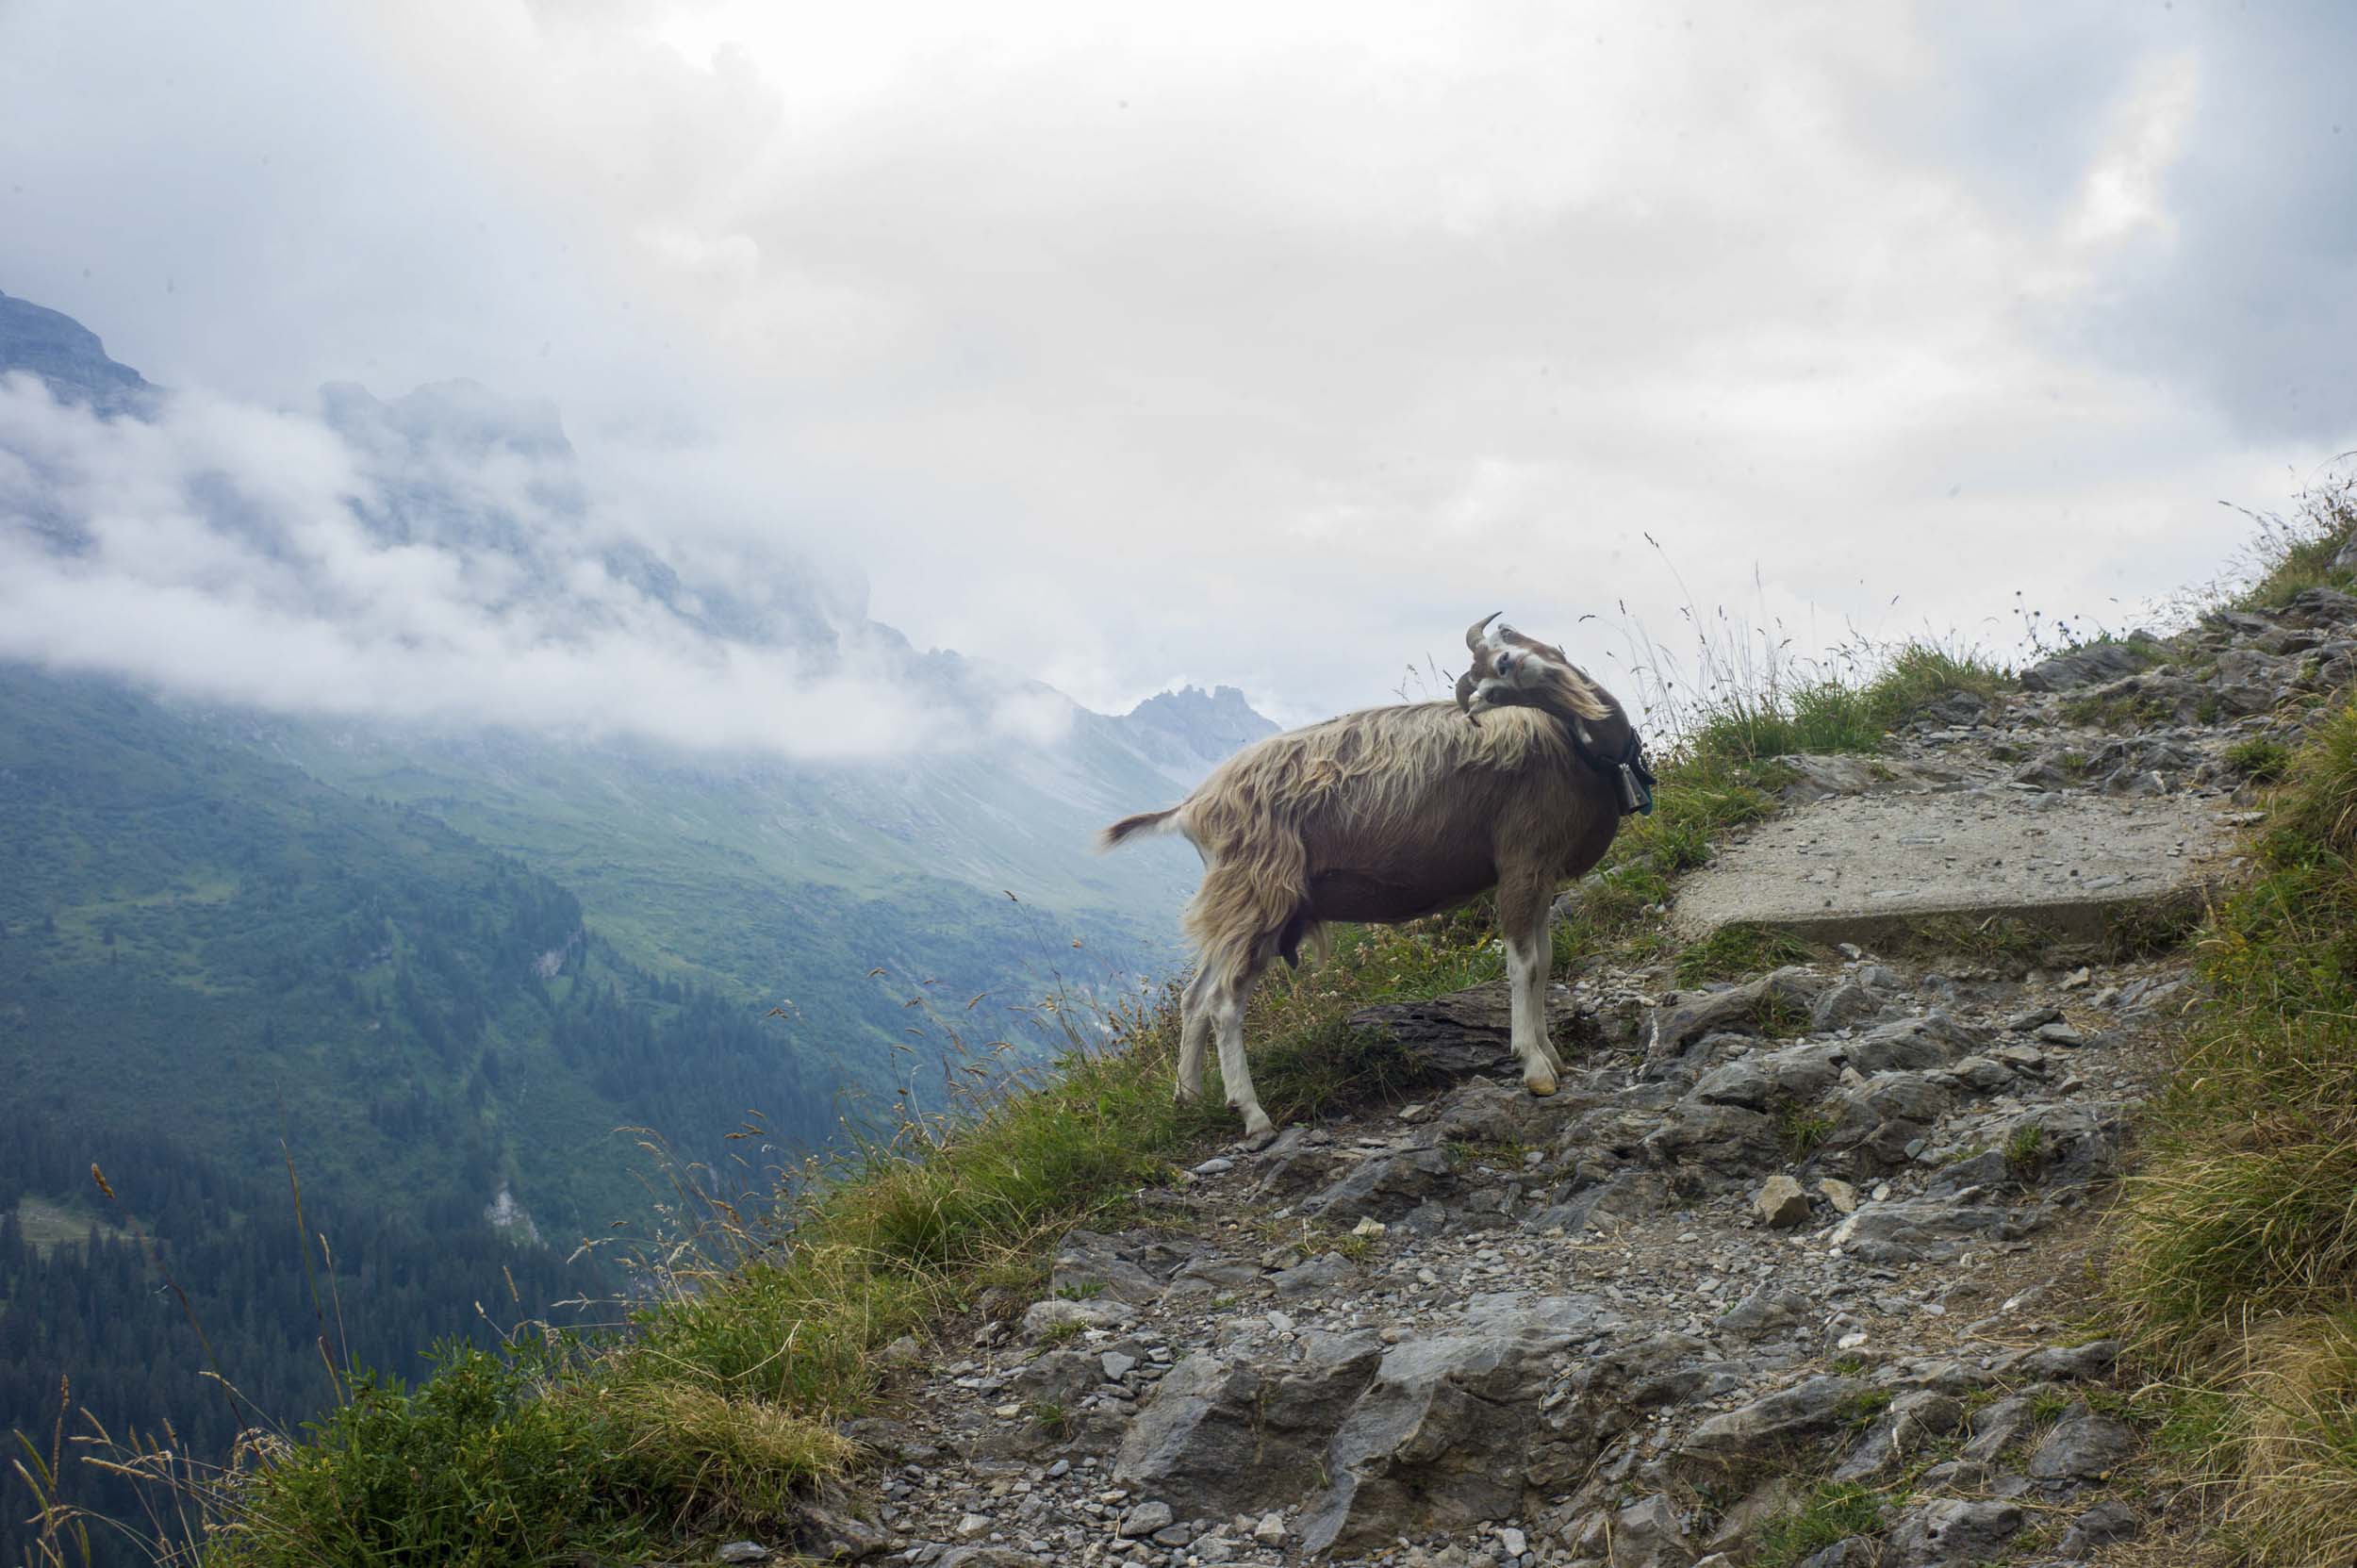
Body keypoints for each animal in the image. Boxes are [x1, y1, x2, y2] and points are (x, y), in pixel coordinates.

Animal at [1100, 613, 1652, 1138]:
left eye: (1503, 646)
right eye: (1486, 679)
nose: (1506, 667)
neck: (1570, 745)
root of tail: (1193, 807)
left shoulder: (1542, 874)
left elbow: (1545, 959)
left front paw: (1553, 1055)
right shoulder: (1521, 862)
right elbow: (1525, 965)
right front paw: (1535, 1066)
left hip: (1241, 908)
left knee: (1194, 998)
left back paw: (1189, 1099)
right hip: (1259, 895)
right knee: (1222, 1003)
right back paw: (1254, 1117)